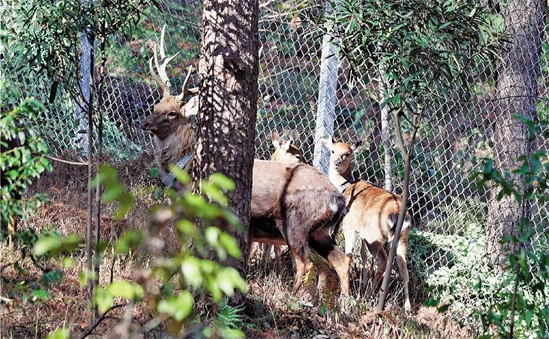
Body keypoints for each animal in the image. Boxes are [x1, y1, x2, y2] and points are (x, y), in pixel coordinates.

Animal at [139, 26, 348, 298]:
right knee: (340, 261)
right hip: (320, 232)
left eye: (172, 113)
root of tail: (339, 199)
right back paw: (343, 302)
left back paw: (293, 296)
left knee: (307, 263)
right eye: (156, 105)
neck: (186, 168)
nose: (144, 123)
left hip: (296, 222)